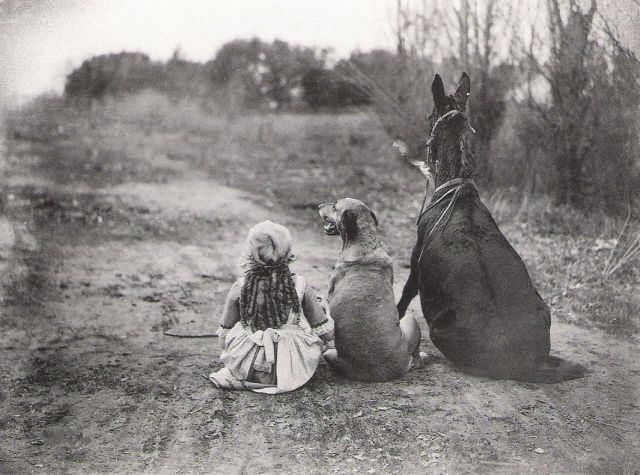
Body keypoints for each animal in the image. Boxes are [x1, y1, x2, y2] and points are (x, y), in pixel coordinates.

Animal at [397, 72, 584, 383]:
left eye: (428, 115)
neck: (458, 185)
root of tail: (524, 362)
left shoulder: (415, 265)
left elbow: (401, 300)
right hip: (543, 308)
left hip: (439, 329)